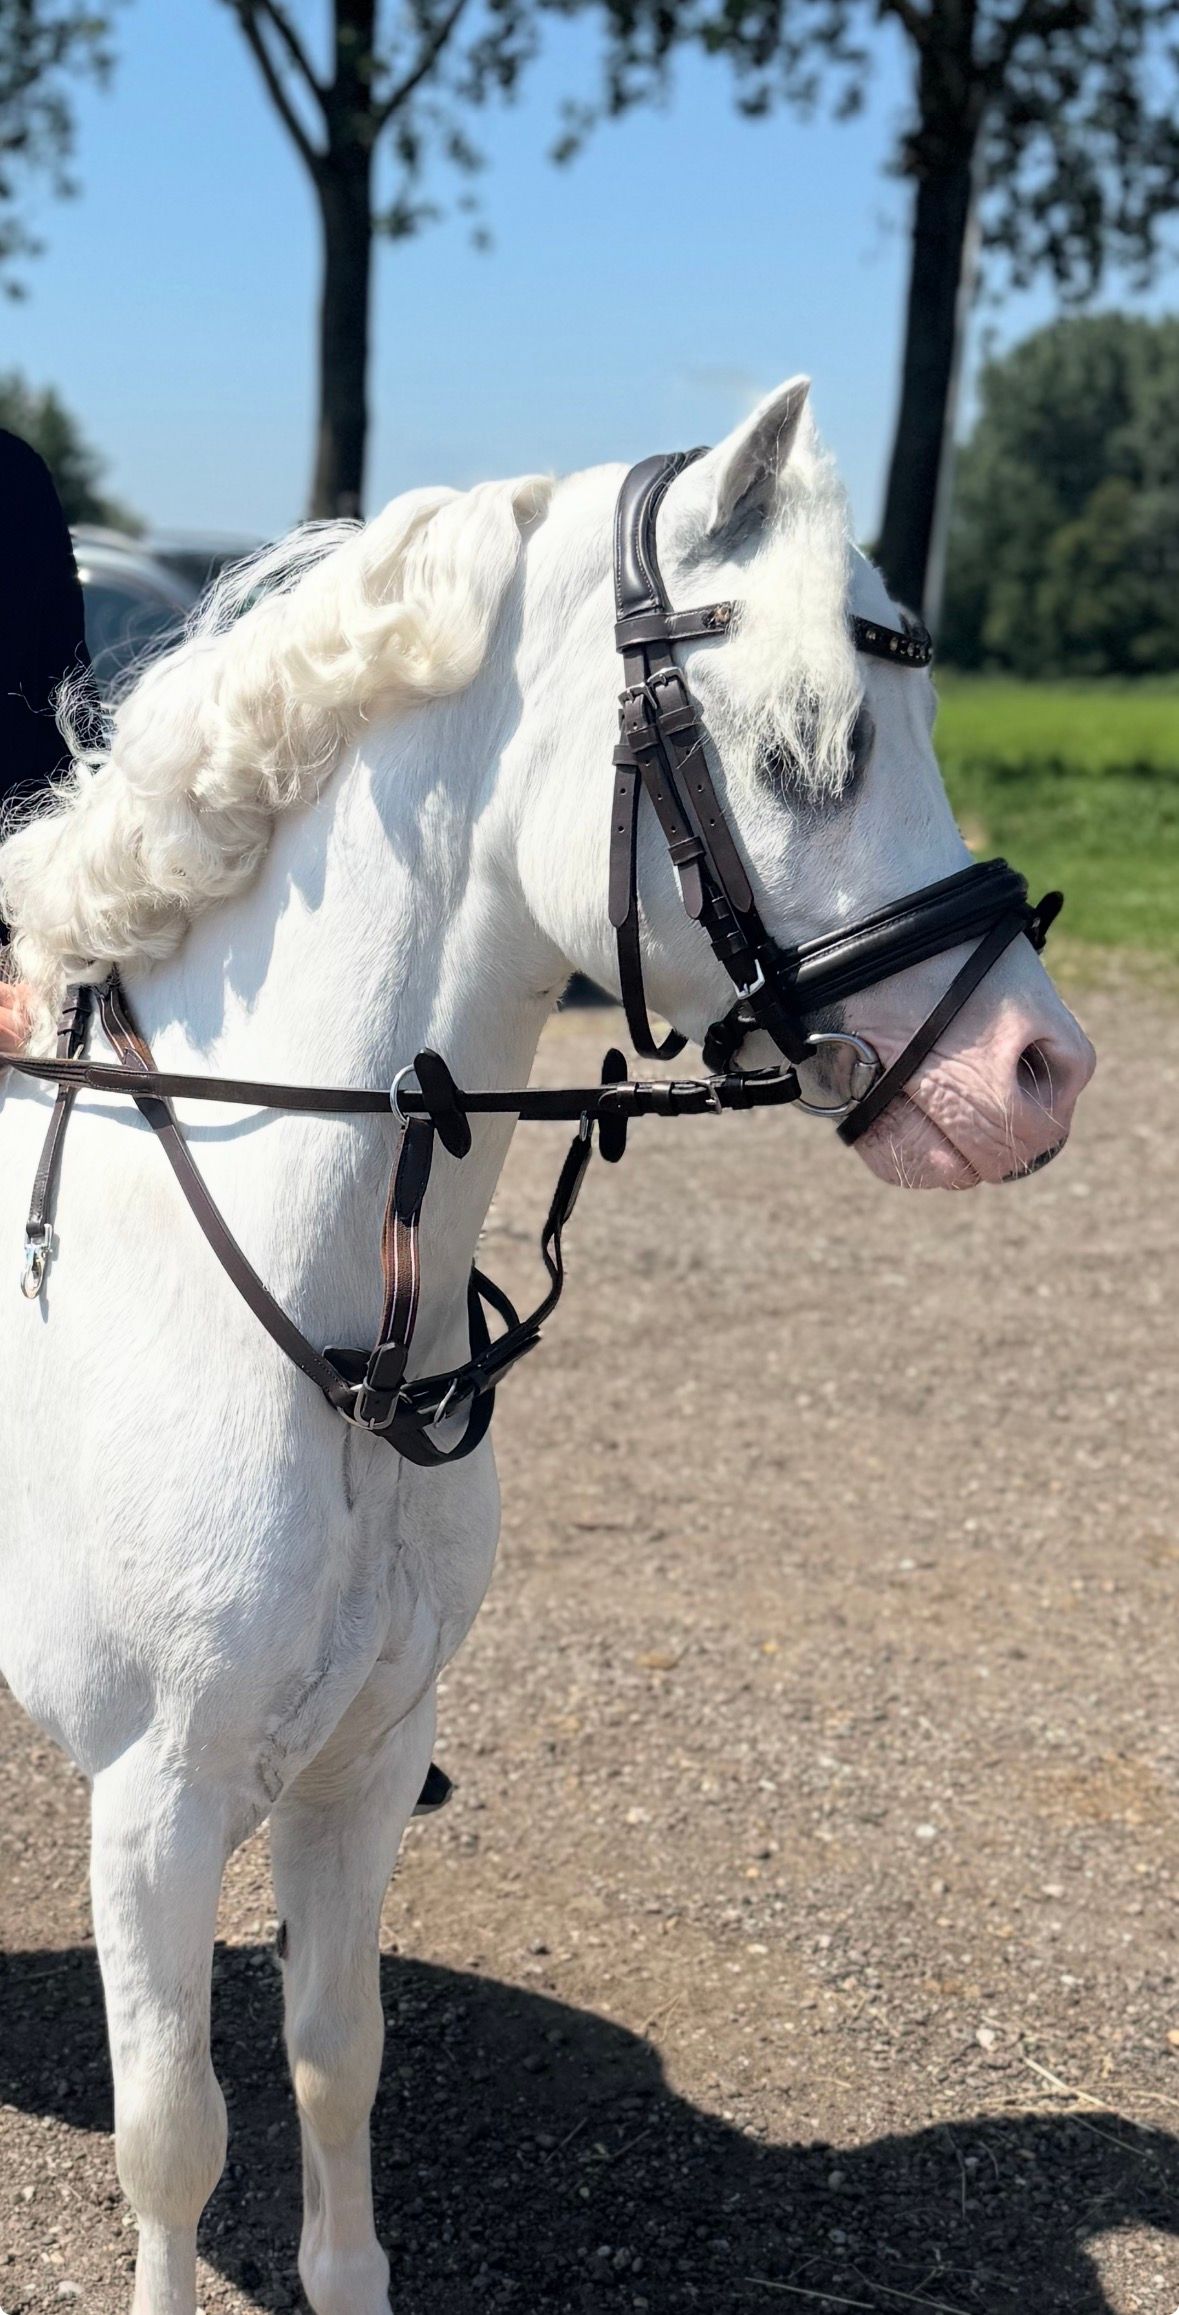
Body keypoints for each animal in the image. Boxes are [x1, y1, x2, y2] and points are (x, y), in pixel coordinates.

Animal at [0, 378, 1094, 2315]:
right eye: (804, 747)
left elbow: (331, 2062)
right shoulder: (153, 1802)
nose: (1034, 1073)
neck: (328, 1332)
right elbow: (173, 2137)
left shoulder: (362, 1761)